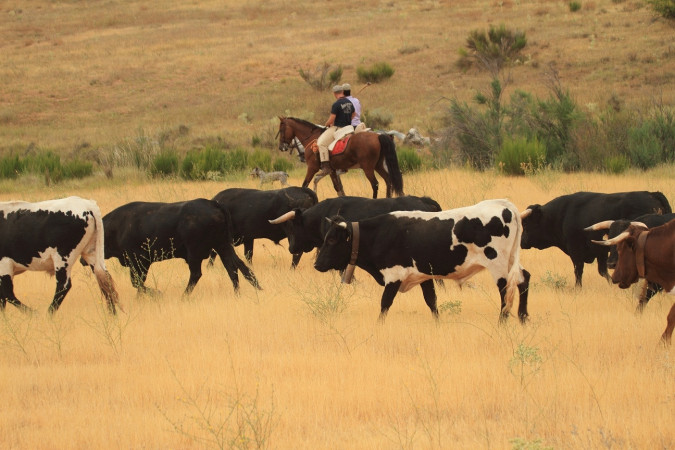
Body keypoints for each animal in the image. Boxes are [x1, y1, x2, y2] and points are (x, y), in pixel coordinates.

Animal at [103, 199, 262, 298]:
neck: (116, 226)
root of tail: (212, 204)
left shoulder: (139, 261)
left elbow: (137, 282)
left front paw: (157, 294)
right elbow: (138, 283)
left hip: (195, 254)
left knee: (197, 274)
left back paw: (183, 296)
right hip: (223, 247)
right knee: (235, 267)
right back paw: (245, 292)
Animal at [314, 199, 532, 322]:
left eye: (332, 240)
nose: (317, 264)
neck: (379, 234)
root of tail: (503, 205)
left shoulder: (394, 276)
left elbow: (385, 303)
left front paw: (379, 325)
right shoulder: (425, 277)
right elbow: (432, 302)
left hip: (498, 265)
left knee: (506, 290)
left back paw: (503, 320)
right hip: (511, 260)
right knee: (524, 279)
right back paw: (523, 317)